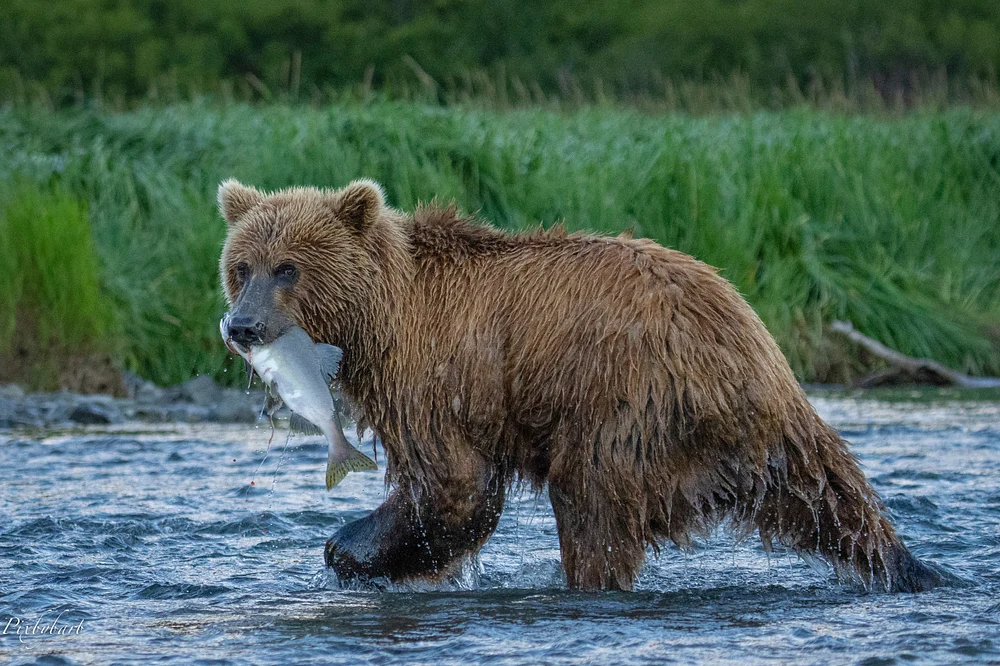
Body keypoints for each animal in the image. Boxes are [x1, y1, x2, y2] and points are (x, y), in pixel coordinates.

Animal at [218, 178, 944, 592]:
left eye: (288, 268)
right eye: (242, 266)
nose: (242, 326)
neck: (381, 317)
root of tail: (742, 351)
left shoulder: (436, 373)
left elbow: (454, 483)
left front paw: (350, 548)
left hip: (624, 403)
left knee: (592, 506)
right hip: (779, 440)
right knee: (838, 502)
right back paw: (913, 569)